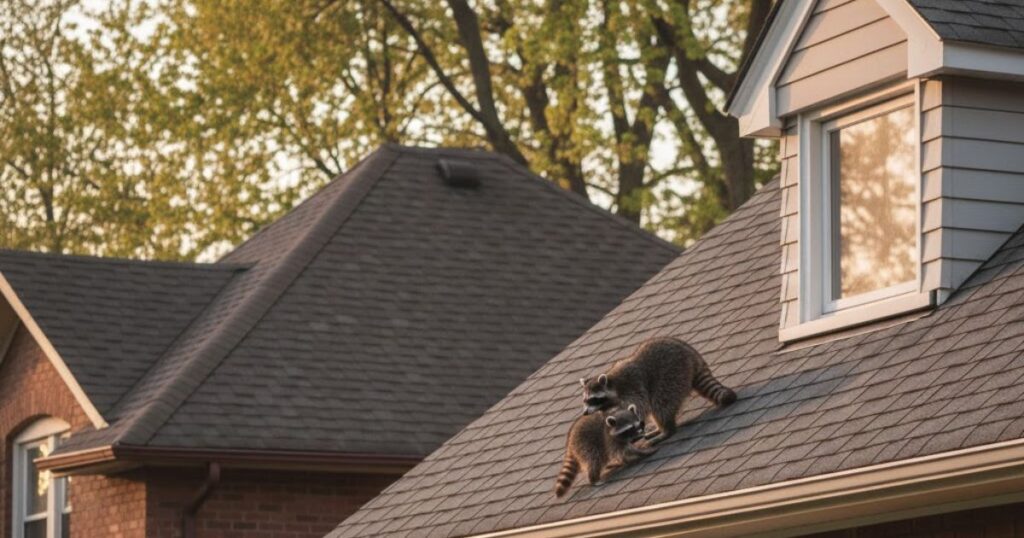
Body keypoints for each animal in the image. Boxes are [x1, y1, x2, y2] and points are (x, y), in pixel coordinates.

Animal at [581, 337, 736, 445]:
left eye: (593, 399)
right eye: (585, 400)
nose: (585, 412)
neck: (612, 384)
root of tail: (691, 354)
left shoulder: (632, 386)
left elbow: (640, 406)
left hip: (672, 375)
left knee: (660, 404)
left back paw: (666, 430)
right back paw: (658, 429)